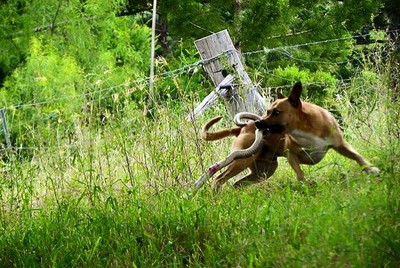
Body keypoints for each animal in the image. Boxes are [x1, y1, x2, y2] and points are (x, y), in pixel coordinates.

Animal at [202, 81, 380, 188]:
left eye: (276, 112)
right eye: (267, 111)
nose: (258, 123)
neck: (305, 127)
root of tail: (241, 129)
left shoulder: (340, 144)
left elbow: (357, 156)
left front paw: (370, 169)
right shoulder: (291, 155)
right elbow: (300, 174)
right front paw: (306, 186)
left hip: (264, 171)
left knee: (237, 184)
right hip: (242, 160)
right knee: (219, 178)